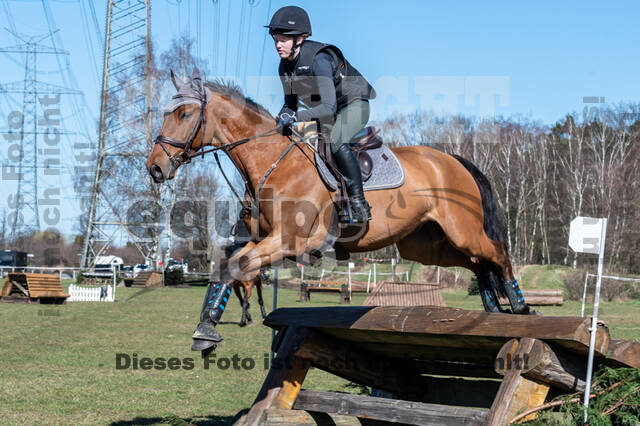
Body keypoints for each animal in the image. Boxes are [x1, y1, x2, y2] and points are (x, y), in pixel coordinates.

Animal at [148, 67, 532, 352]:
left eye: (184, 113)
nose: (154, 168)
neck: (272, 162)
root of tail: (452, 159)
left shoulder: (289, 242)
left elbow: (237, 267)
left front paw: (207, 330)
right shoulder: (258, 239)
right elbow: (226, 268)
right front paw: (207, 325)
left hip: (461, 231)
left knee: (497, 253)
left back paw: (519, 306)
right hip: (426, 245)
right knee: (478, 263)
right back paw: (494, 311)